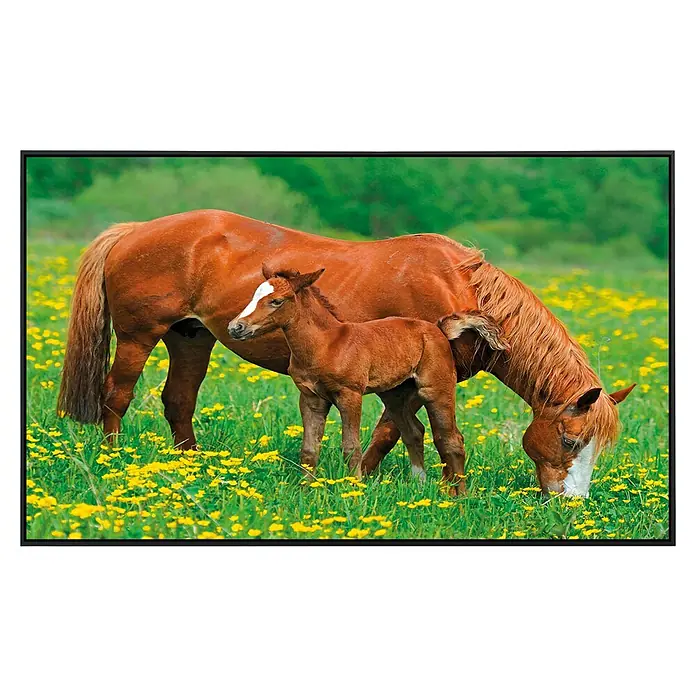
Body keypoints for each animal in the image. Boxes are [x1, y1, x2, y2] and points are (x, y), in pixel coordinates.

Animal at [228, 266, 508, 494]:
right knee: (414, 432)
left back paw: (459, 496)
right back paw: (419, 485)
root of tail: (438, 329)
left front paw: (354, 489)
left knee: (451, 438)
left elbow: (351, 446)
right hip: (395, 395)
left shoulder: (349, 394)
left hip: (435, 388)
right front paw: (306, 490)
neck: (326, 344)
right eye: (254, 296)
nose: (236, 327)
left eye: (276, 301)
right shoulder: (310, 397)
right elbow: (309, 449)